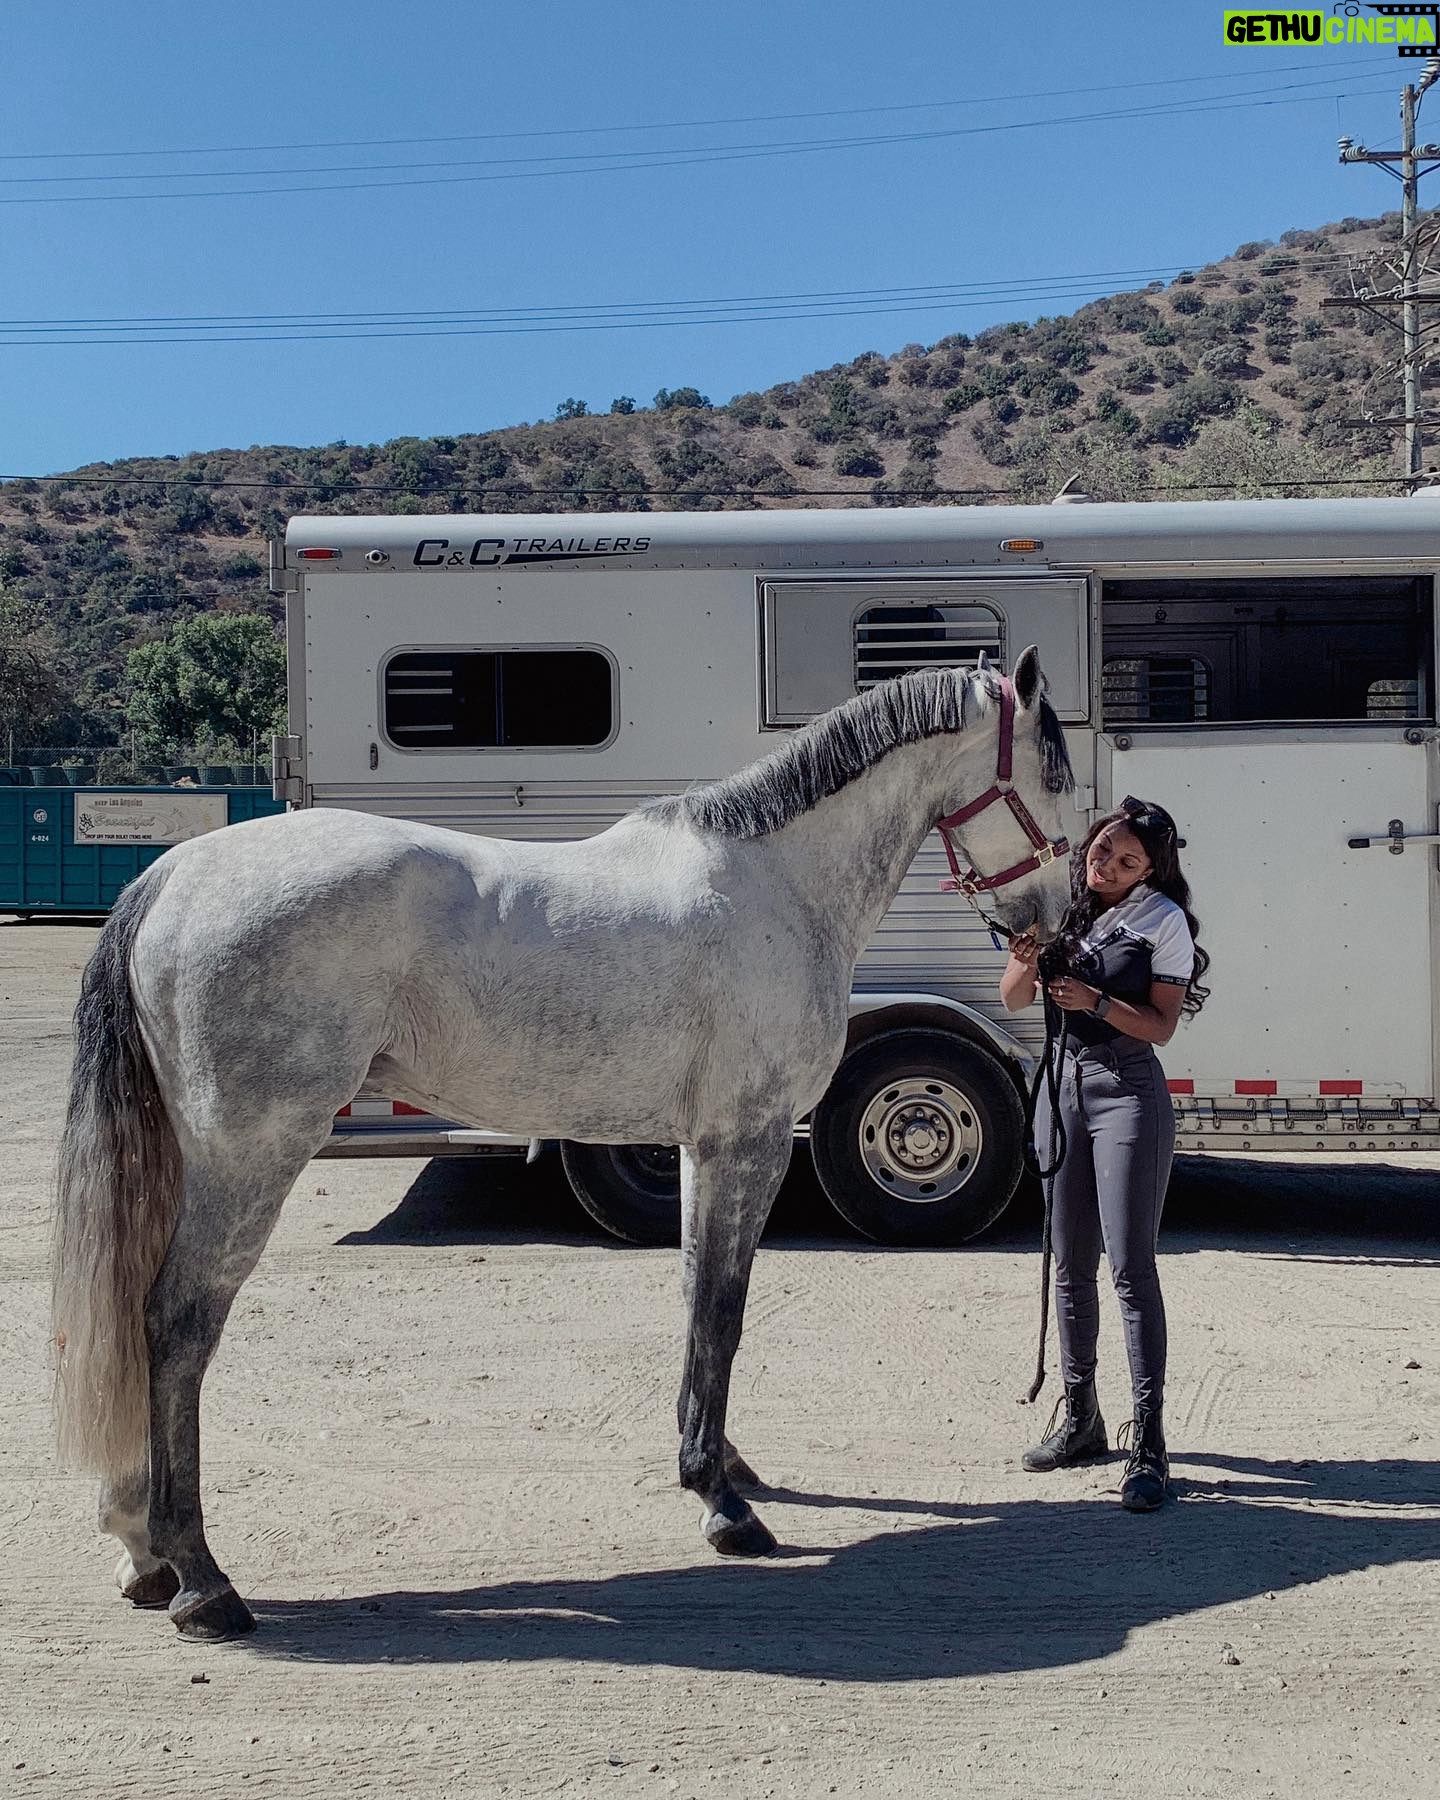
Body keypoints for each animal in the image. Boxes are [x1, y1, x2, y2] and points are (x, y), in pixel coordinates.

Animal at [52, 650, 1075, 1641]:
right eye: (1056, 772)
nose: (1057, 929)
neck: (779, 883)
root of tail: (170, 878)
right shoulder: (747, 1140)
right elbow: (723, 1308)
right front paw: (722, 1503)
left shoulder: (703, 1147)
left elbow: (697, 1298)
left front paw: (722, 1464)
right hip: (250, 1157)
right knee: (177, 1321)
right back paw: (203, 1583)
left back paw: (144, 1555)